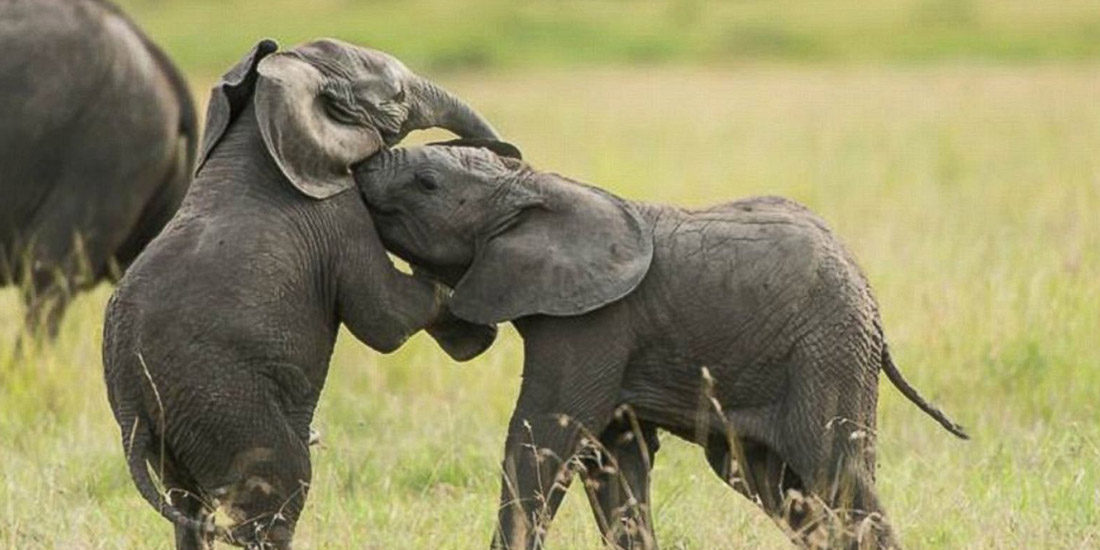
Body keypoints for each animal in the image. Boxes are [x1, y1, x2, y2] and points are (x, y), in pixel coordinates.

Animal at [103, 40, 501, 549]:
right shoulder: (338, 213)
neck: (264, 113)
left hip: (174, 424)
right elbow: (383, 321)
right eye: (395, 94)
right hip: (223, 404)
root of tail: (130, 403)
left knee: (185, 505)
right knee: (279, 488)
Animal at [354, 141, 970, 550]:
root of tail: (870, 298)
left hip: (828, 354)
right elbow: (613, 462)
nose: (357, 163)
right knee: (778, 485)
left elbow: (542, 437)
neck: (533, 185)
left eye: (426, 182)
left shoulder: (596, 323)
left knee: (835, 472)